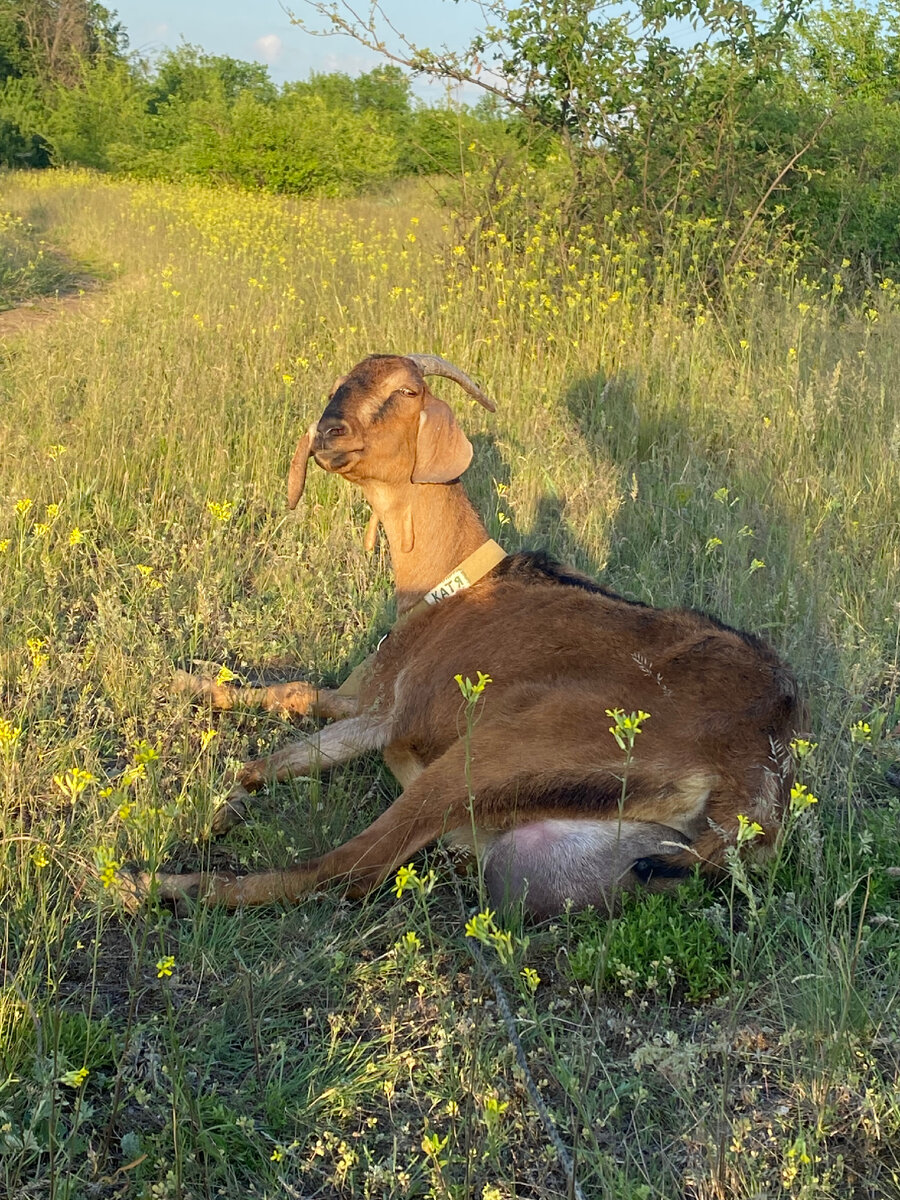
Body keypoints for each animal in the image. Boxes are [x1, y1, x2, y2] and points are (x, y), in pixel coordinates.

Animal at [137, 353, 801, 915]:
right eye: (341, 382)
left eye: (406, 391)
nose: (327, 433)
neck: (448, 584)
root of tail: (758, 768)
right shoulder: (370, 702)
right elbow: (284, 716)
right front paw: (204, 740)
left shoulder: (393, 711)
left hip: (500, 750)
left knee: (352, 867)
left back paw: (152, 883)